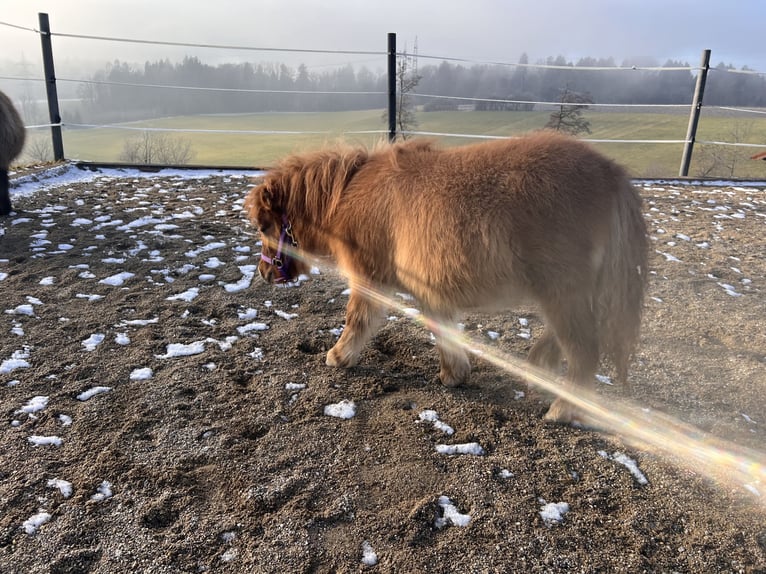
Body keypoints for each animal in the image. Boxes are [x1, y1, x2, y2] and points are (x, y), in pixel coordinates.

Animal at [245, 131, 648, 423]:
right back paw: (541, 365)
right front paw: (454, 374)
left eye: (264, 226)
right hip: (568, 296)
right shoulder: (432, 291)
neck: (350, 194)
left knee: (583, 352)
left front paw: (339, 357)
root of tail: (611, 173)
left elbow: (357, 319)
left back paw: (560, 410)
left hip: (564, 295)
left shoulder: (368, 280)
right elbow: (444, 330)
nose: (264, 272)